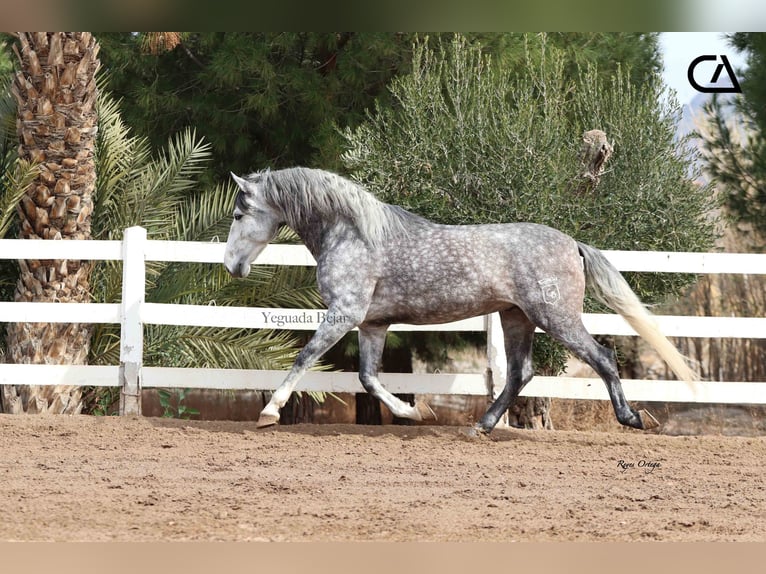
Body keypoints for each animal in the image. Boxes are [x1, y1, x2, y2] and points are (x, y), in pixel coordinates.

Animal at [225, 169, 700, 434]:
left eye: (238, 214)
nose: (231, 265)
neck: (354, 234)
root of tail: (572, 244)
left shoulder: (343, 315)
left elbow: (304, 358)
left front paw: (269, 412)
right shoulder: (372, 324)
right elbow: (369, 378)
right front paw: (418, 412)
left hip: (556, 317)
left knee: (601, 358)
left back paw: (633, 418)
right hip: (516, 318)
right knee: (520, 373)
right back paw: (481, 426)